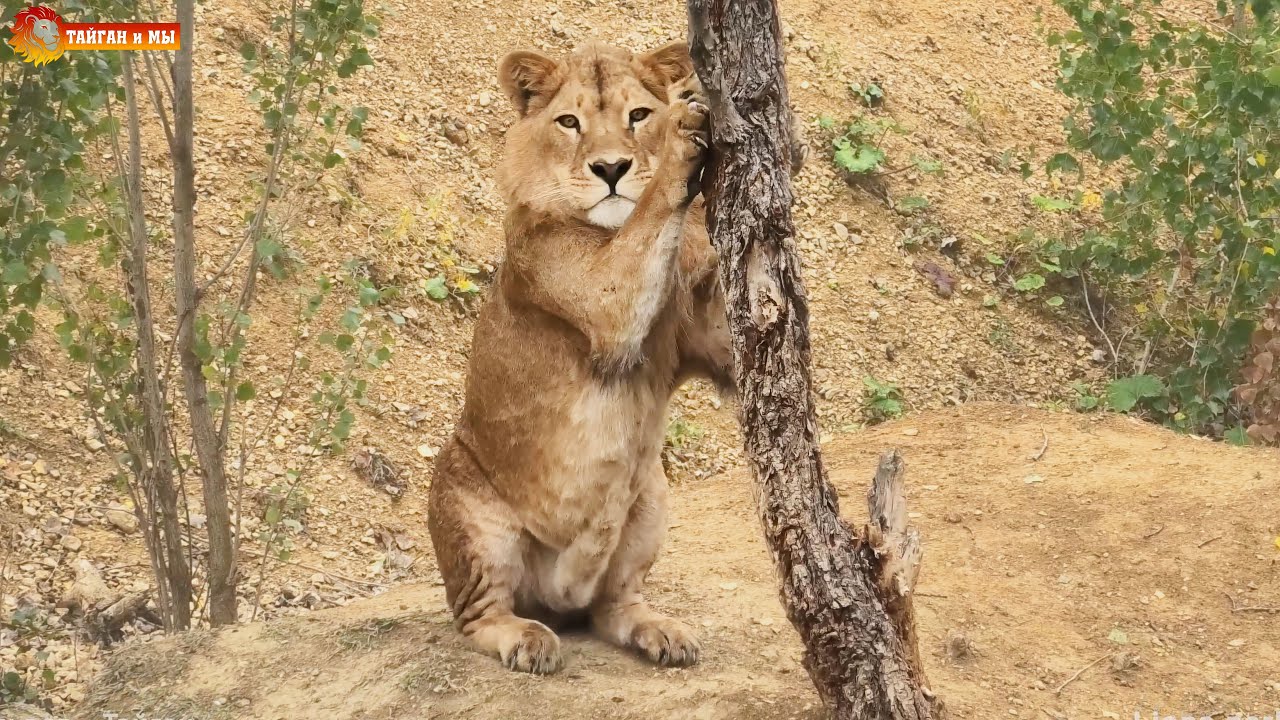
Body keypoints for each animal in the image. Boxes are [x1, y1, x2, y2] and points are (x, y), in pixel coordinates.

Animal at [427, 40, 804, 674]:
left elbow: (739, 327)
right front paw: (683, 133)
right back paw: (526, 640)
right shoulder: (597, 293)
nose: (610, 170)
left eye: (637, 115)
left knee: (611, 605)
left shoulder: (704, 333)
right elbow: (648, 219)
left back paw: (659, 632)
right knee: (477, 615)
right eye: (569, 123)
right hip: (467, 504)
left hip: (649, 498)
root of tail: (557, 602)